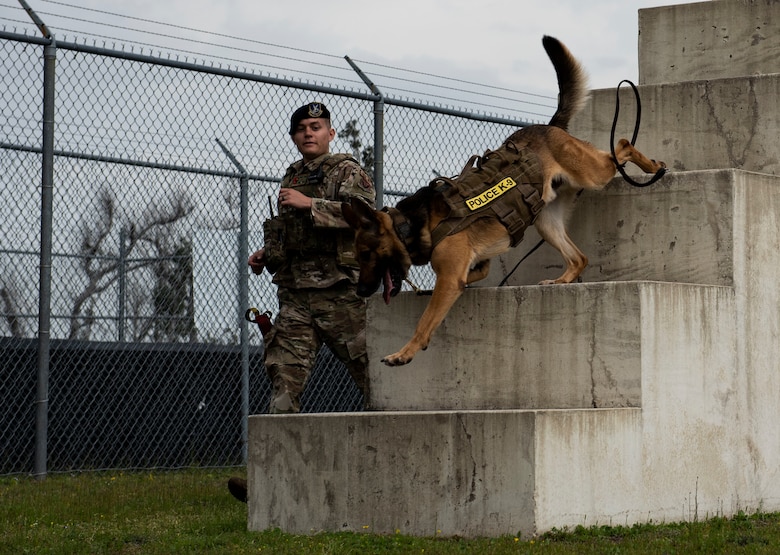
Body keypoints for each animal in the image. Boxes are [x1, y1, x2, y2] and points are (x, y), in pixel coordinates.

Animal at [342, 33, 664, 364]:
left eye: (366, 254)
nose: (362, 292)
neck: (412, 224)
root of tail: (549, 126)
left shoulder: (449, 277)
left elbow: (425, 320)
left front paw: (404, 352)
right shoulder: (470, 268)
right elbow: (471, 278)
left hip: (591, 173)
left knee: (621, 146)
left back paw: (652, 165)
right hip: (547, 222)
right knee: (579, 257)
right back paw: (560, 281)